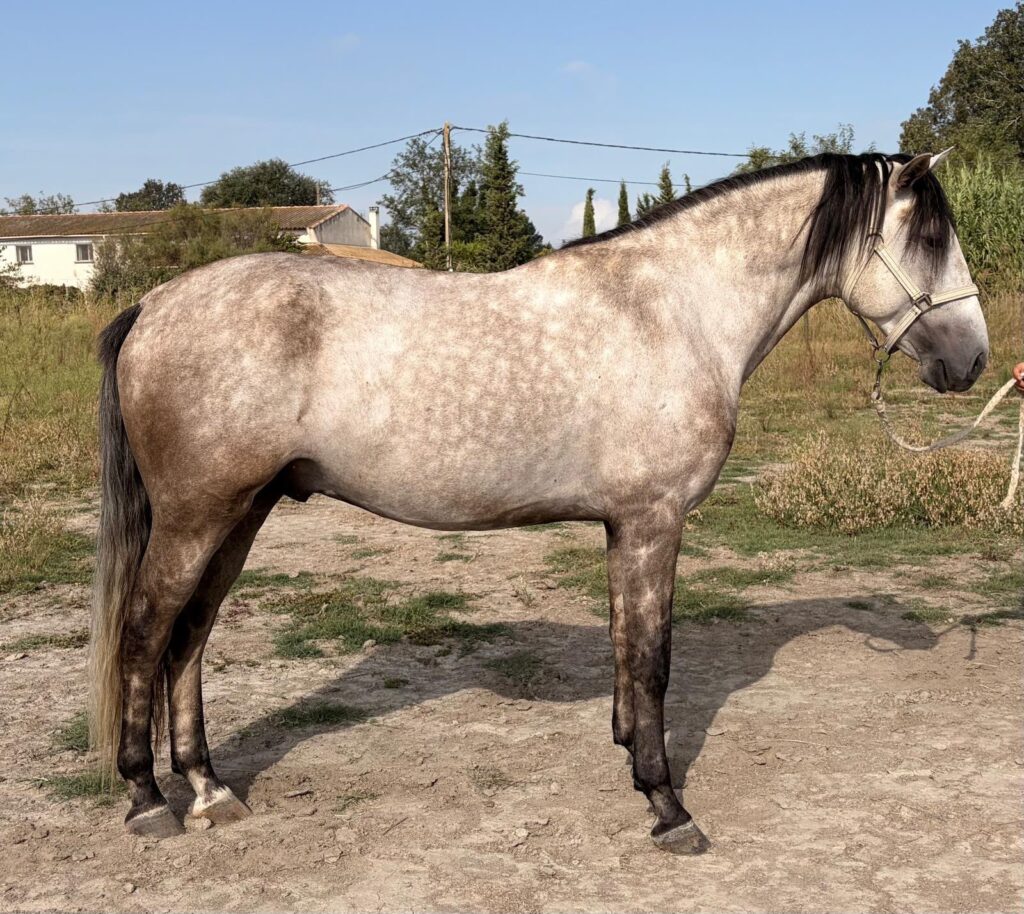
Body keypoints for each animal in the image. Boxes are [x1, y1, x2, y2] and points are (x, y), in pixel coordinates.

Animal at [88, 150, 988, 853]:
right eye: (930, 237)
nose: (973, 360)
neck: (675, 309)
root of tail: (153, 305)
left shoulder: (625, 526)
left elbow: (627, 650)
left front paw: (631, 760)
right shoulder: (653, 521)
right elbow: (653, 659)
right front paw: (668, 807)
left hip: (241, 513)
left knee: (189, 640)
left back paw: (209, 791)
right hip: (198, 516)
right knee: (145, 633)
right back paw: (148, 800)